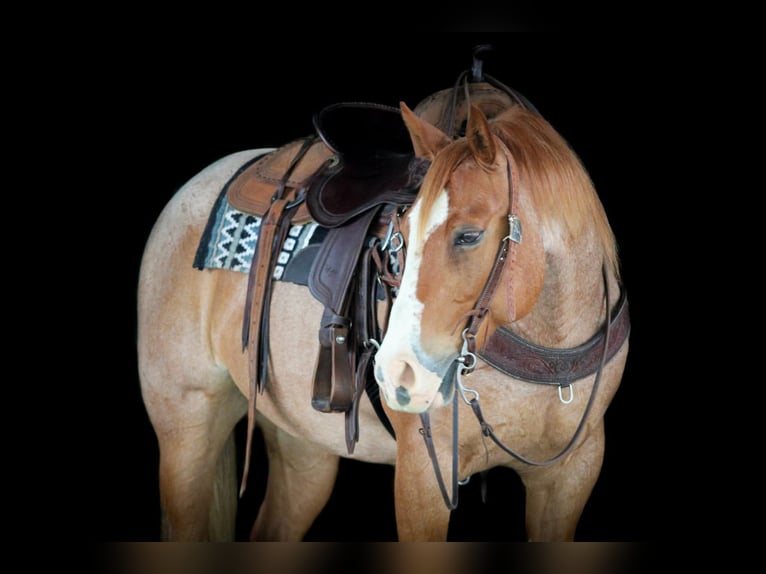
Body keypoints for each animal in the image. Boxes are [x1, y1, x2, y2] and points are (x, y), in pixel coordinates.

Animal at [137, 75, 630, 541]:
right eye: (402, 235)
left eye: (469, 235)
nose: (398, 372)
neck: (548, 342)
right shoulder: (422, 476)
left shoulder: (572, 473)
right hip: (186, 427)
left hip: (304, 446)